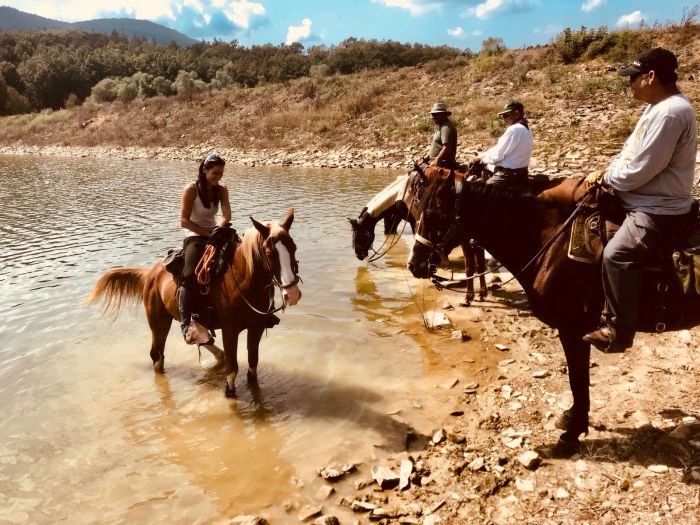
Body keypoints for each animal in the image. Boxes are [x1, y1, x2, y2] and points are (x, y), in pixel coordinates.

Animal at [86, 209, 302, 398]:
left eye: (293, 247)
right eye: (269, 252)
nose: (292, 294)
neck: (242, 280)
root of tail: (150, 273)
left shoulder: (255, 328)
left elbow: (252, 364)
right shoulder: (230, 330)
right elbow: (232, 368)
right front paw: (229, 393)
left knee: (206, 342)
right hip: (158, 323)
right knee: (157, 355)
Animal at [404, 174, 700, 452]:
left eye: (434, 214)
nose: (414, 264)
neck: (550, 244)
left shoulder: (573, 329)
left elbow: (577, 379)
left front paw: (573, 431)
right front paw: (572, 420)